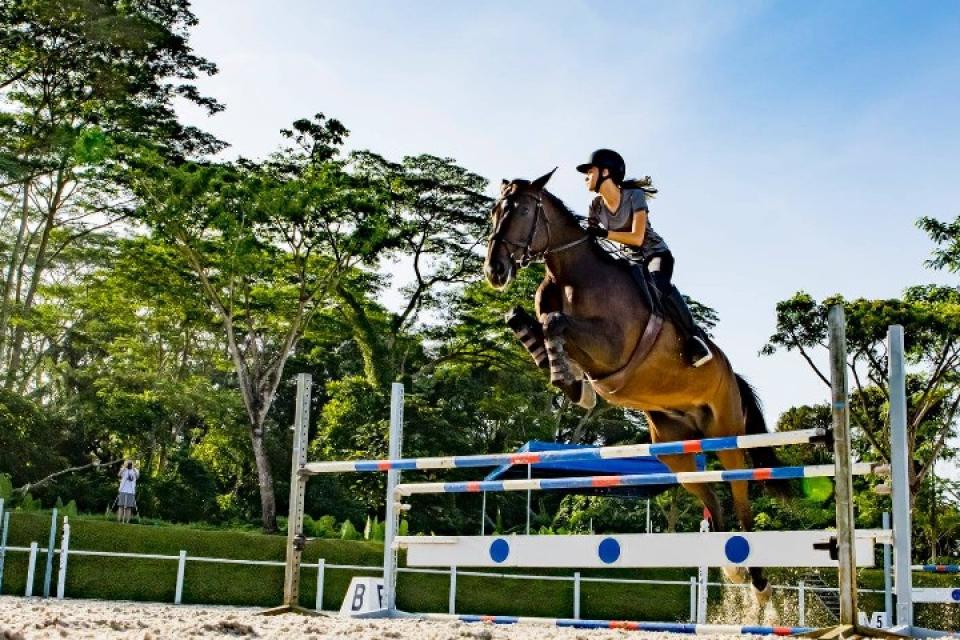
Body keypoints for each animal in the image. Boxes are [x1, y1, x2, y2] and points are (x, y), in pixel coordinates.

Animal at [484, 169, 784, 600]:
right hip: (675, 449)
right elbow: (525, 318)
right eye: (495, 210)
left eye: (522, 210)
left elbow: (556, 322)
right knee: (710, 493)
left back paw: (756, 579)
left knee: (739, 492)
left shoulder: (611, 346)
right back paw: (732, 568)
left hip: (727, 434)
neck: (571, 275)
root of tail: (732, 377)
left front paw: (570, 382)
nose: (495, 270)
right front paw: (569, 381)